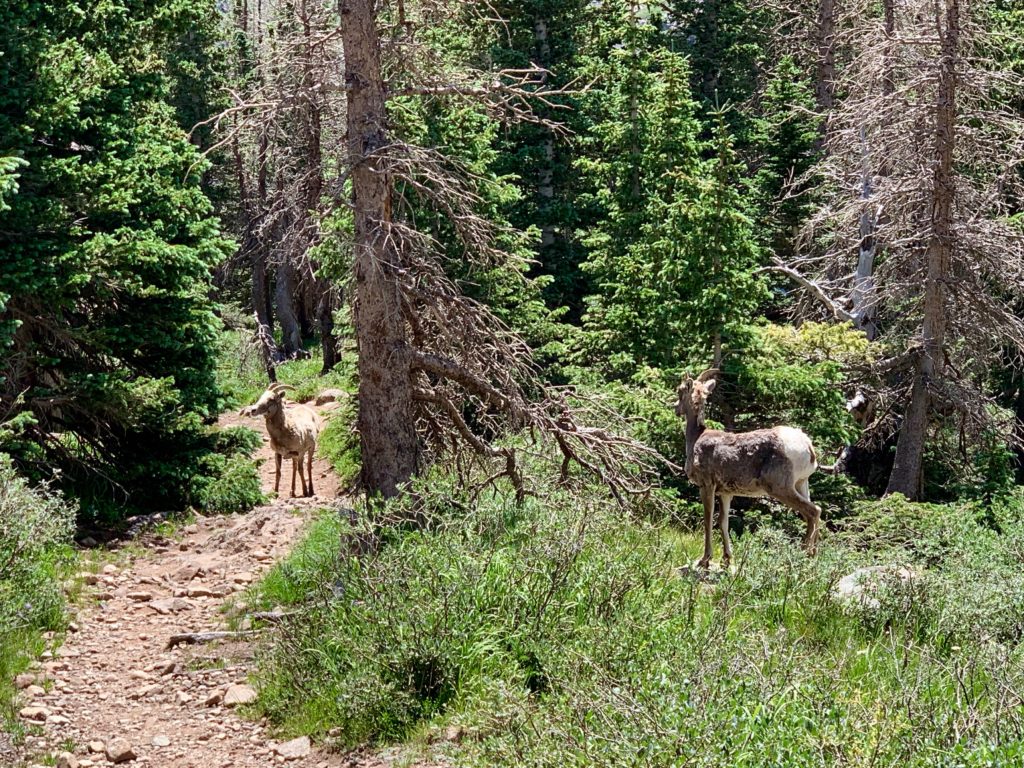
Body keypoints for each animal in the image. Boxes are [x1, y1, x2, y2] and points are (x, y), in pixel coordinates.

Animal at [671, 370, 823, 569]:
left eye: (680, 390)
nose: (675, 408)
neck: (696, 438)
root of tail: (808, 447)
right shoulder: (726, 492)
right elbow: (723, 522)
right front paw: (726, 560)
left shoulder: (706, 485)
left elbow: (708, 520)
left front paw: (704, 560)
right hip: (801, 484)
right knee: (813, 513)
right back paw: (813, 557)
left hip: (780, 487)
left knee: (813, 511)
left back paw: (803, 557)